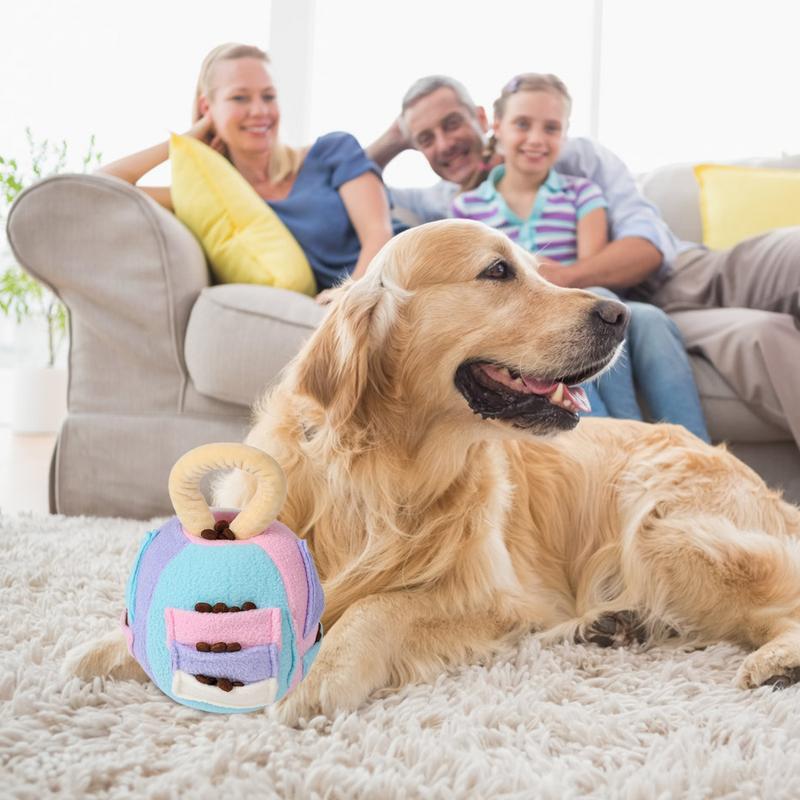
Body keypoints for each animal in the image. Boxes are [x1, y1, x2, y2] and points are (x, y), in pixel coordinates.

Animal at [67, 220, 800, 724]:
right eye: (498, 271)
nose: (618, 314)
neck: (385, 469)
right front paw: (105, 653)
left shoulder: (485, 592)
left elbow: (382, 606)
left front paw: (320, 676)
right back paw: (608, 624)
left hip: (662, 525)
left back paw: (774, 660)